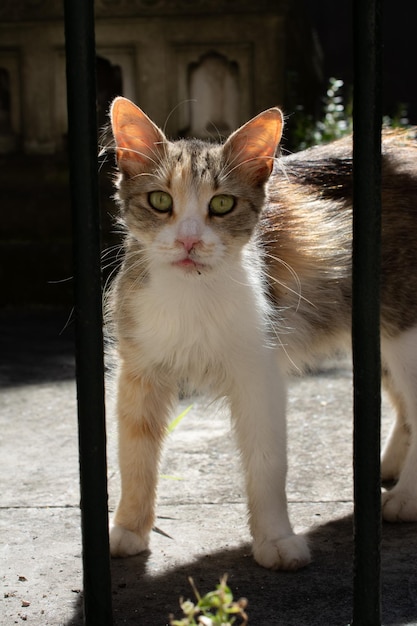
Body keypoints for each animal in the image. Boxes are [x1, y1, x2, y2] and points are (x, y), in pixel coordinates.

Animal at [106, 95, 416, 568]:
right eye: (159, 200)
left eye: (221, 205)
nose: (189, 241)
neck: (192, 295)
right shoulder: (138, 368)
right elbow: (134, 453)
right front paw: (129, 527)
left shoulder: (260, 371)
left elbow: (267, 461)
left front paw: (276, 539)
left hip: (403, 325)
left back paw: (407, 498)